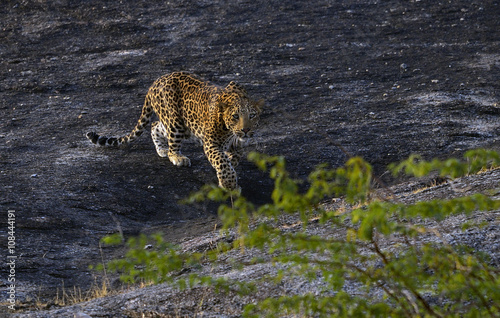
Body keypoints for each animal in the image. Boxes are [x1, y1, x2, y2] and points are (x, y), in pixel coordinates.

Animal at [86, 71, 266, 190]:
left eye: (252, 115)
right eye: (235, 116)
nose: (245, 130)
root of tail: (155, 83)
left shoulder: (236, 143)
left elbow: (233, 158)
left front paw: (230, 169)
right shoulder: (211, 143)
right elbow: (221, 162)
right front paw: (229, 185)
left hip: (183, 126)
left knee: (155, 125)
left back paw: (162, 150)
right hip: (175, 122)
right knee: (170, 141)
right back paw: (177, 157)